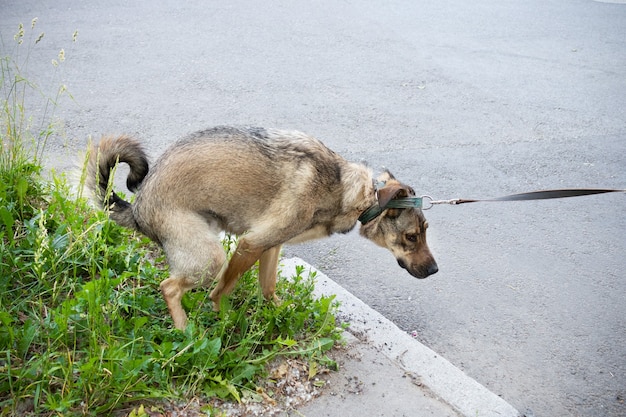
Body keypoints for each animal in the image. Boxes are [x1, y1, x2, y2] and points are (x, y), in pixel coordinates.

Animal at [86, 127, 438, 328]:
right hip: (210, 259)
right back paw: (187, 332)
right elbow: (220, 292)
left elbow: (268, 289)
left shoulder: (271, 246)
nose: (435, 271)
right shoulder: (251, 244)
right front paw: (223, 320)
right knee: (169, 287)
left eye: (425, 231)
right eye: (411, 237)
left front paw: (280, 314)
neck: (349, 190)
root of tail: (138, 207)